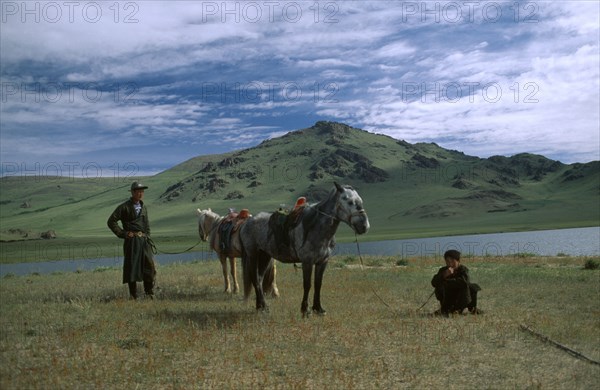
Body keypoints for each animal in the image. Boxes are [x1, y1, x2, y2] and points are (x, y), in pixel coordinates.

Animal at [241, 184, 368, 316]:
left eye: (360, 201)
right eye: (349, 201)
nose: (364, 226)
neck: (316, 227)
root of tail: (247, 222)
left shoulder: (322, 262)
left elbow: (318, 284)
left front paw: (318, 308)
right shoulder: (307, 261)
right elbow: (307, 284)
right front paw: (305, 310)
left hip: (265, 256)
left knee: (259, 279)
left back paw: (261, 306)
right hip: (253, 255)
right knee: (255, 279)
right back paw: (262, 307)